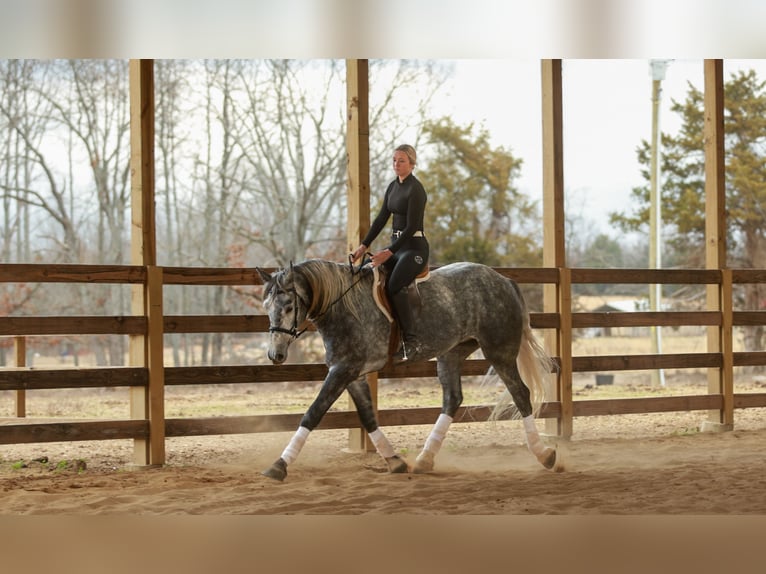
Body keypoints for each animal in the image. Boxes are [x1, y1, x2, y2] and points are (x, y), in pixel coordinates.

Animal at [256, 258, 558, 481]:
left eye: (289, 306)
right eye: (267, 306)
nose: (275, 355)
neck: (343, 307)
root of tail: (503, 280)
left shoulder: (344, 370)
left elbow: (313, 413)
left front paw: (279, 465)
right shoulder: (352, 373)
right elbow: (367, 417)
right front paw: (395, 461)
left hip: (499, 351)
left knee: (520, 393)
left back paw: (545, 455)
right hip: (451, 353)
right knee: (453, 398)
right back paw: (425, 459)